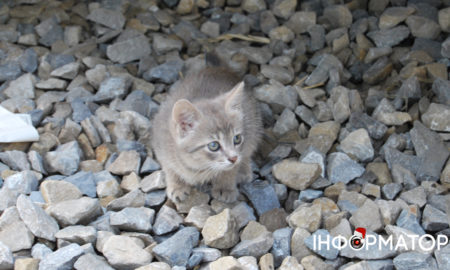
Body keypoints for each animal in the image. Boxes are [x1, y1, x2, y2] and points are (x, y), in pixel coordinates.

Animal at [152, 67, 262, 202]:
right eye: (214, 145)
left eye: (237, 139)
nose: (234, 158)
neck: (198, 165)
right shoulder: (160, 144)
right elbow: (170, 168)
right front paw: (178, 185)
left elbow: (230, 170)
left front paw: (225, 186)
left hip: (254, 124)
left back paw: (243, 170)